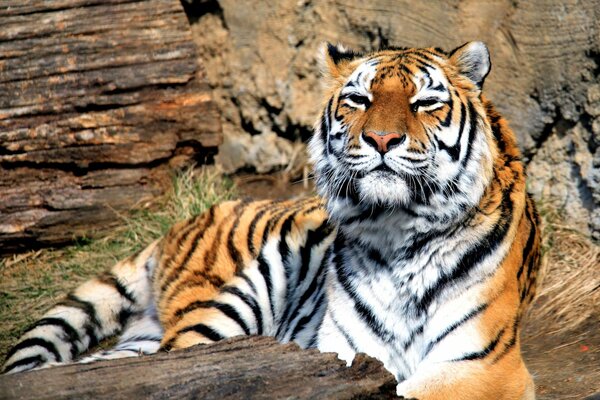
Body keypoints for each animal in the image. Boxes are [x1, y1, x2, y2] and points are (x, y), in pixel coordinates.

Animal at [1, 41, 544, 400]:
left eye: (425, 103)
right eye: (359, 99)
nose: (382, 140)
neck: (396, 230)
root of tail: (187, 221)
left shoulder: (482, 365)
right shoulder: (342, 352)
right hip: (231, 305)